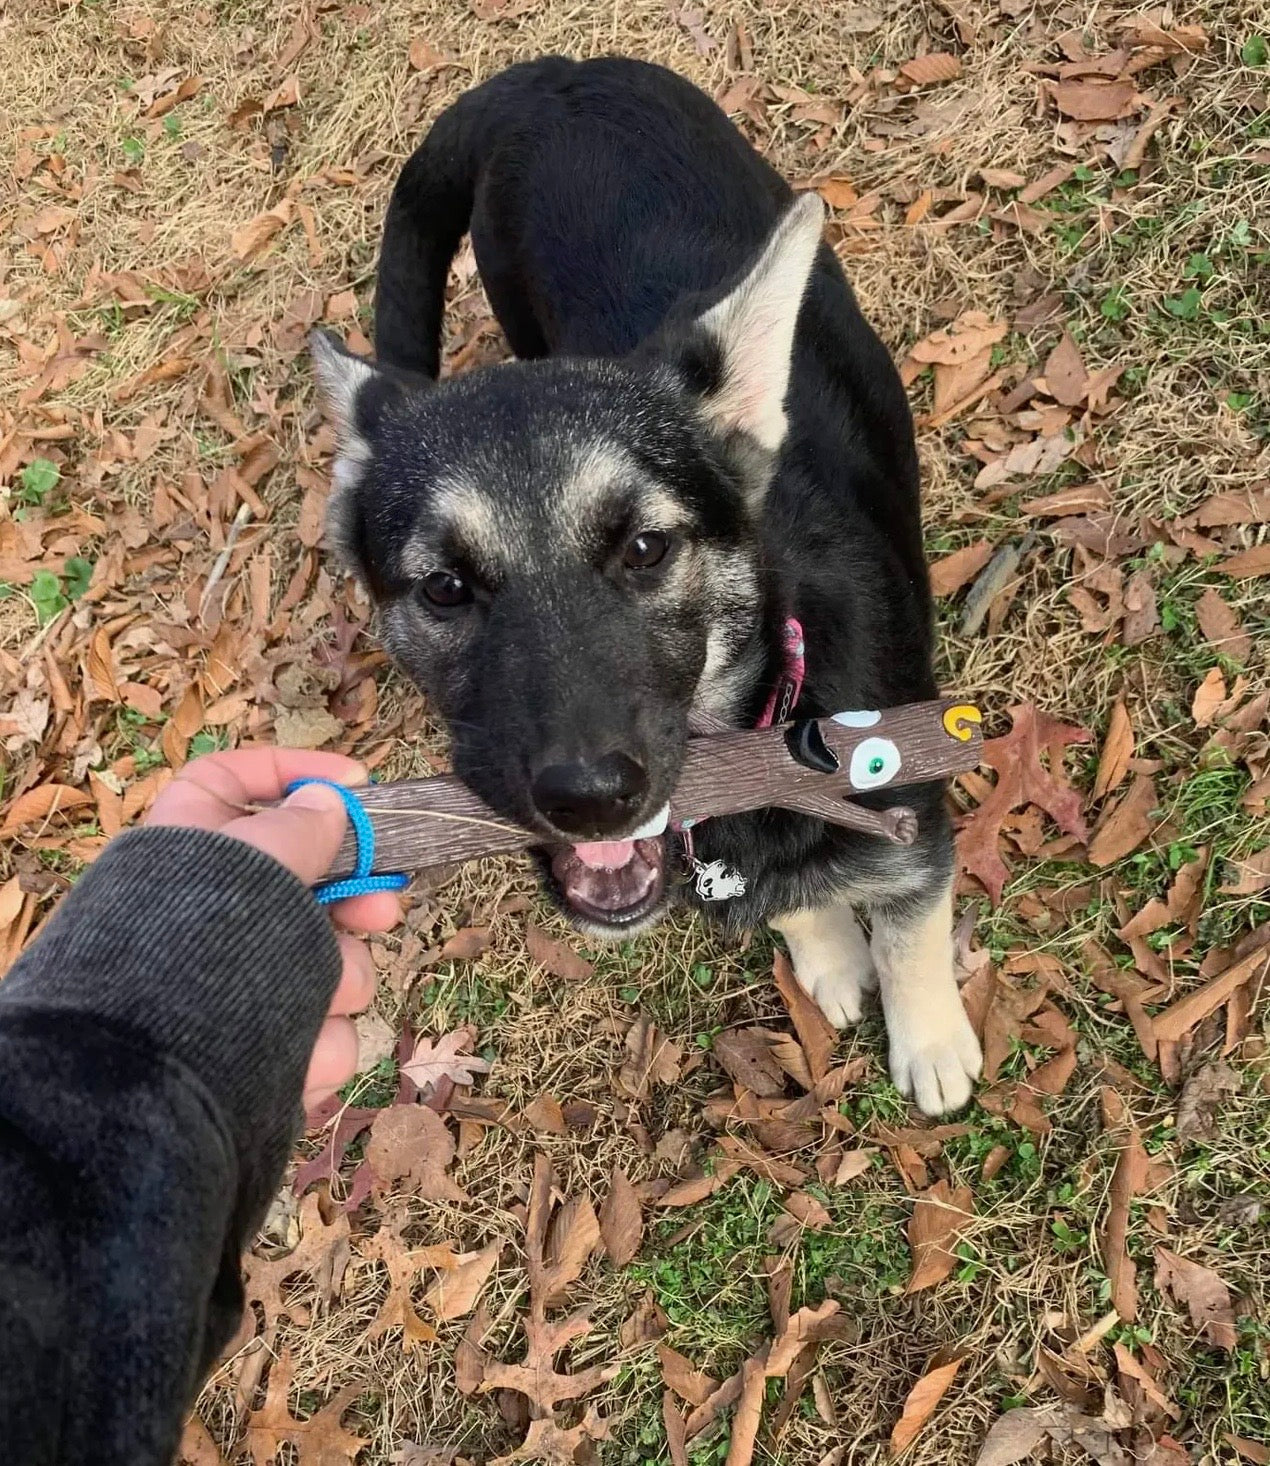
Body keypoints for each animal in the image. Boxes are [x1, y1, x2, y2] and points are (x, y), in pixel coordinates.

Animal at [312, 54, 985, 1108]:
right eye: (444, 588)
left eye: (644, 549)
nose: (589, 798)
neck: (771, 721)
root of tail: (546, 75)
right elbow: (799, 911)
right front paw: (829, 956)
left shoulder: (914, 822)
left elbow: (911, 930)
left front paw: (931, 1042)